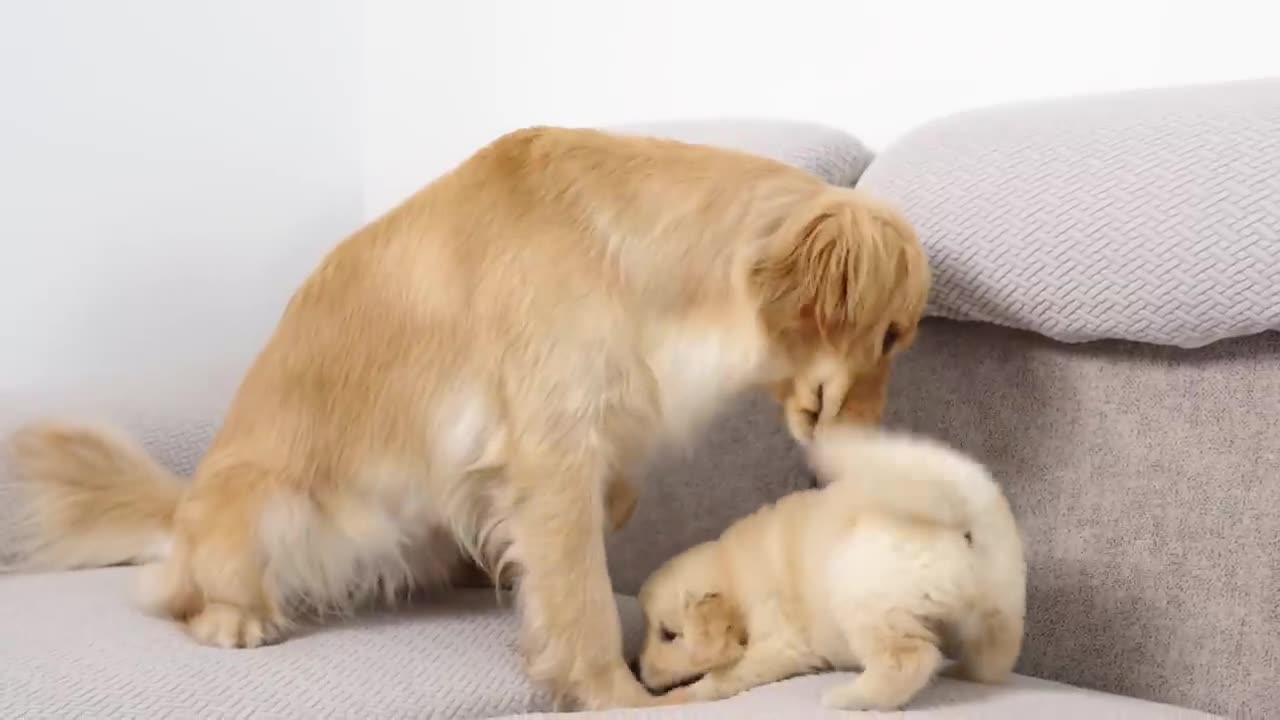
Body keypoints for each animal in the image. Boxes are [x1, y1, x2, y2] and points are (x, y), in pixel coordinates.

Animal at [7, 124, 931, 707]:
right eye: (890, 336)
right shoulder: (551, 454)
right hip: (263, 504)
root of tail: (181, 506)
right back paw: (237, 618)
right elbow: (584, 602)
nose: (876, 444)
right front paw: (615, 696)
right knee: (186, 593)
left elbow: (601, 512)